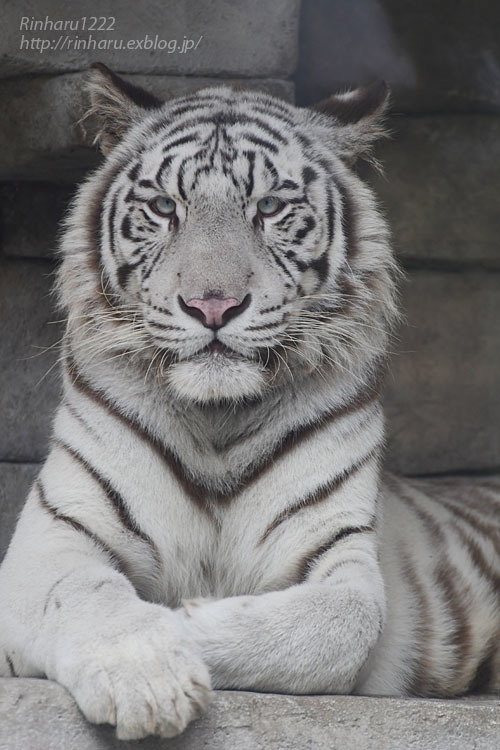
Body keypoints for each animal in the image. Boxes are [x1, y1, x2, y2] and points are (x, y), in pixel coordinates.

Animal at [0, 63, 500, 740]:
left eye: (269, 207)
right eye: (164, 206)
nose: (213, 305)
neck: (217, 419)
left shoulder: (341, 559)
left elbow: (338, 627)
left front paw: (180, 621)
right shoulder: (53, 538)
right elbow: (90, 595)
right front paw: (147, 680)